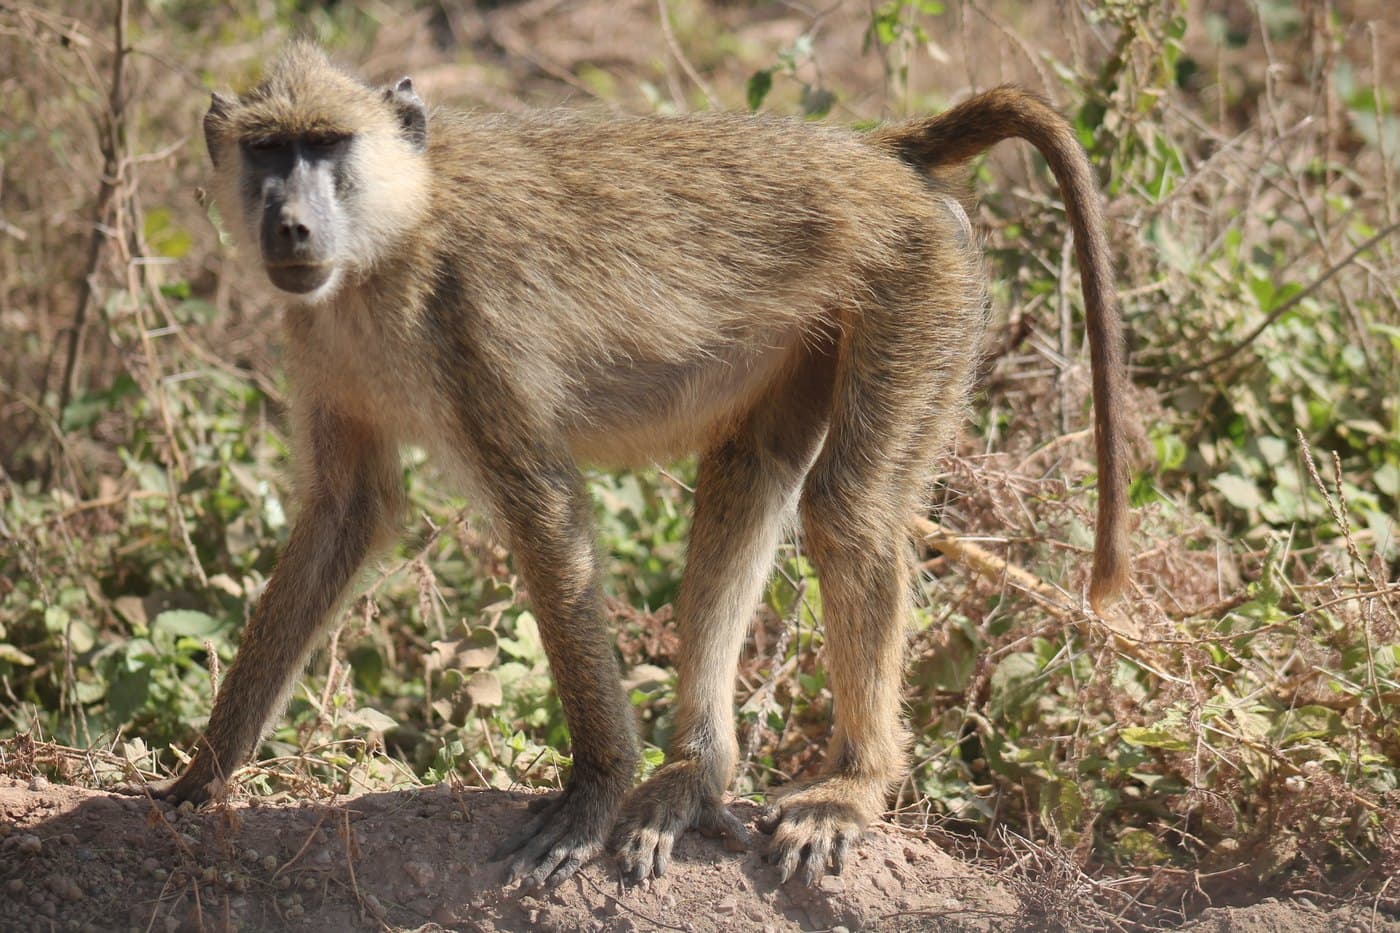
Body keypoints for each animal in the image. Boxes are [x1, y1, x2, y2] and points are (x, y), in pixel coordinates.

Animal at [120, 41, 1128, 890]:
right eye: (268, 150)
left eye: (327, 146)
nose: (290, 226)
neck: (389, 242)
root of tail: (876, 155)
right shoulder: (323, 345)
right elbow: (346, 513)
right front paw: (198, 778)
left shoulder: (467, 320)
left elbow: (544, 515)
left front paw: (593, 791)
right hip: (828, 331)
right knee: (746, 477)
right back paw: (694, 776)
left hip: (920, 284)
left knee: (849, 511)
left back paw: (851, 786)